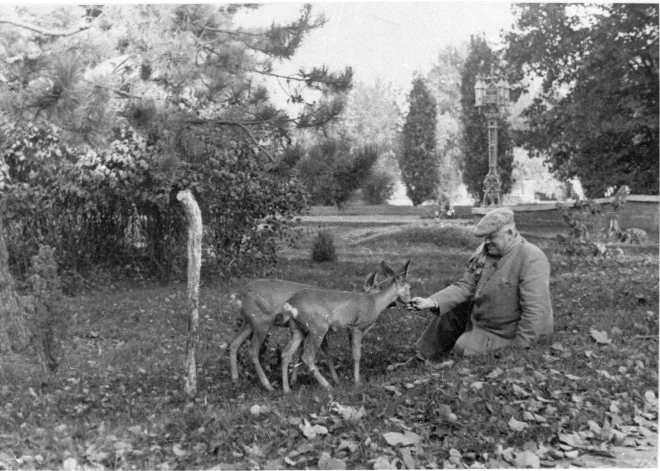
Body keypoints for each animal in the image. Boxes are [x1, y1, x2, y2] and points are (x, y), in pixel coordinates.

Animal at [228, 272, 378, 392]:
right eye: (376, 286)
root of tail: (237, 295)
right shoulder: (319, 329)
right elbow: (325, 354)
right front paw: (336, 381)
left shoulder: (304, 330)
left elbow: (299, 354)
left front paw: (293, 381)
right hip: (262, 321)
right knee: (252, 350)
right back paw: (268, 386)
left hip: (248, 322)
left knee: (234, 342)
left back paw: (235, 380)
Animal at [280, 262, 412, 394]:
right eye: (410, 287)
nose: (409, 302)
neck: (375, 303)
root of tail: (289, 305)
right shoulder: (358, 327)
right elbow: (357, 355)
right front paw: (357, 382)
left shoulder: (350, 329)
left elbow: (353, 353)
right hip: (318, 327)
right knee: (307, 357)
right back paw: (328, 386)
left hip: (297, 329)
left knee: (286, 353)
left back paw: (287, 389)